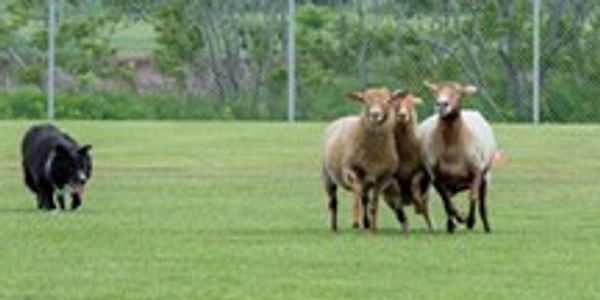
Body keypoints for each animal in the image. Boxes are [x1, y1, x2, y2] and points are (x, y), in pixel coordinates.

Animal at [318, 86, 408, 232]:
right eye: (365, 100)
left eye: (388, 100)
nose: (375, 115)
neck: (373, 156)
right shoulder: (352, 171)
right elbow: (356, 195)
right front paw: (355, 222)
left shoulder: (382, 178)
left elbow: (373, 204)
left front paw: (373, 227)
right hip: (327, 176)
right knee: (333, 202)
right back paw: (334, 227)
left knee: (365, 200)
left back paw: (366, 224)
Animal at [382, 91, 434, 232]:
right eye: (395, 104)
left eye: (411, 104)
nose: (402, 116)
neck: (406, 155)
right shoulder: (391, 179)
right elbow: (396, 193)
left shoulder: (422, 172)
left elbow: (414, 184)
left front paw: (417, 207)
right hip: (387, 199)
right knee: (398, 211)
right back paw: (404, 226)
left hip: (426, 194)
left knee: (426, 212)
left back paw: (429, 226)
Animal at [418, 82, 496, 234]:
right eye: (437, 92)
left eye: (458, 92)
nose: (441, 104)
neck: (452, 150)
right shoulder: (436, 176)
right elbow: (446, 201)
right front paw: (458, 218)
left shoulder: (477, 171)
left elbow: (472, 196)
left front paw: (470, 221)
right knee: (448, 200)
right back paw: (451, 223)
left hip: (485, 176)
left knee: (482, 202)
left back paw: (486, 226)